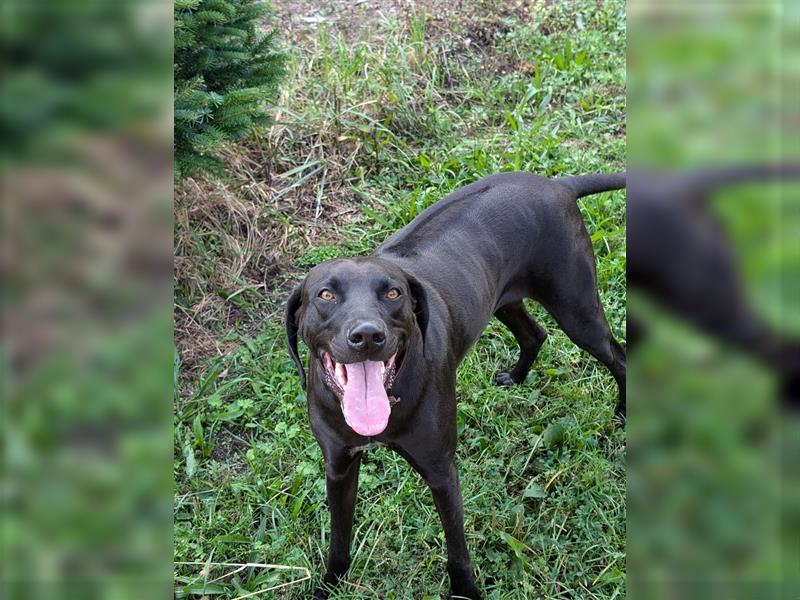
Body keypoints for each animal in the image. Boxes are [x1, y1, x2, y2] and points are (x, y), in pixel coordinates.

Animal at [284, 171, 628, 596]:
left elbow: (457, 549)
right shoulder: (339, 467)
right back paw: (516, 376)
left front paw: (465, 592)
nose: (367, 336)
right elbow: (339, 539)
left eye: (393, 293)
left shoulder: (441, 472)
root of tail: (557, 184)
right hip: (504, 300)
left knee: (619, 357)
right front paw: (329, 586)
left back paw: (622, 413)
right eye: (325, 295)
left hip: (577, 310)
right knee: (535, 335)